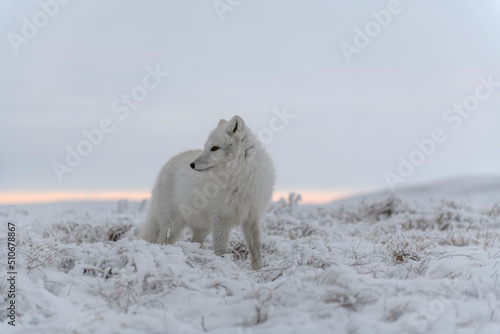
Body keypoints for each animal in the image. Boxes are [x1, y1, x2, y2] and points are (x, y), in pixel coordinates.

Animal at [139, 116, 276, 270]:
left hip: (203, 228)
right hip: (172, 223)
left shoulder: (251, 217)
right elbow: (221, 249)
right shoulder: (221, 218)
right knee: (162, 240)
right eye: (206, 147)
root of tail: (166, 165)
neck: (239, 177)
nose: (192, 165)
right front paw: (223, 266)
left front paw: (259, 269)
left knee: (195, 242)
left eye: (214, 148)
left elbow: (256, 247)